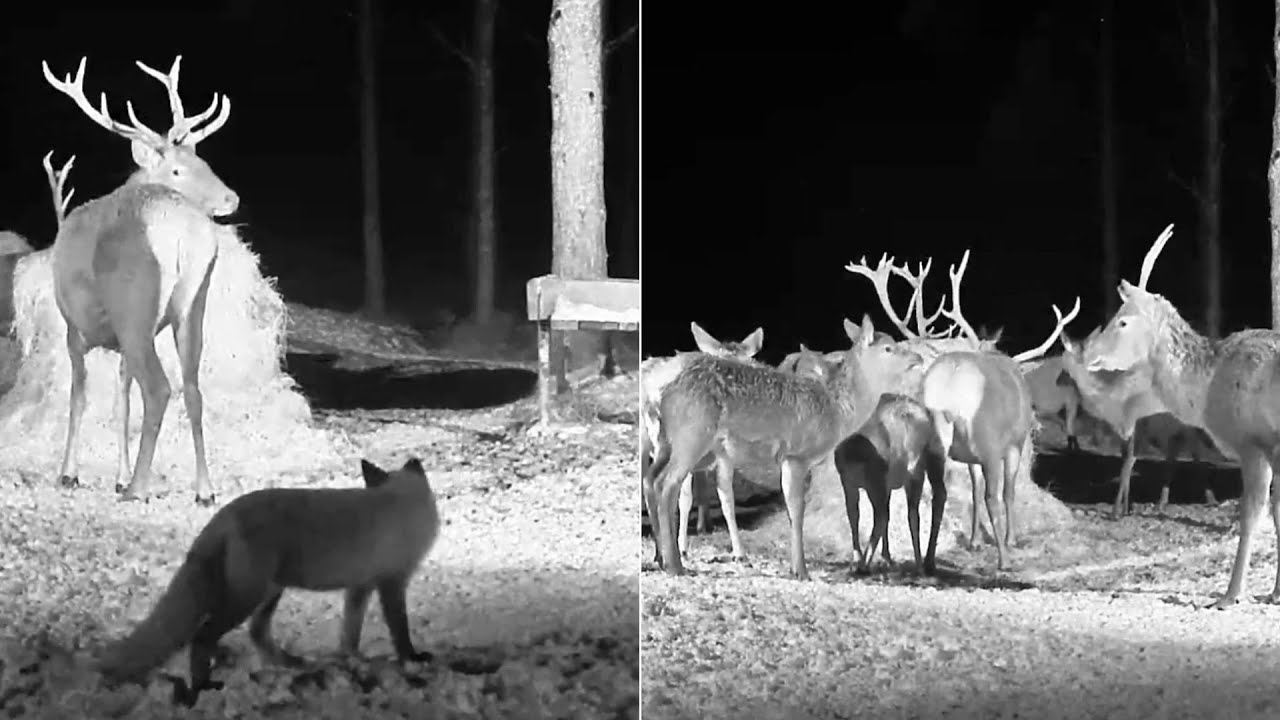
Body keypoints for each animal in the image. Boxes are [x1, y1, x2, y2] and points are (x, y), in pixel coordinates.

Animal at [95, 457, 440, 705]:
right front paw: (412, 659)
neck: (399, 503)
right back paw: (205, 686)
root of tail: (222, 516)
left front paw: (352, 661)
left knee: (257, 633)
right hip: (248, 597)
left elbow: (349, 634)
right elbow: (400, 631)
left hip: (269, 592)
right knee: (204, 636)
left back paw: (291, 663)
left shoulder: (360, 587)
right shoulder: (391, 583)